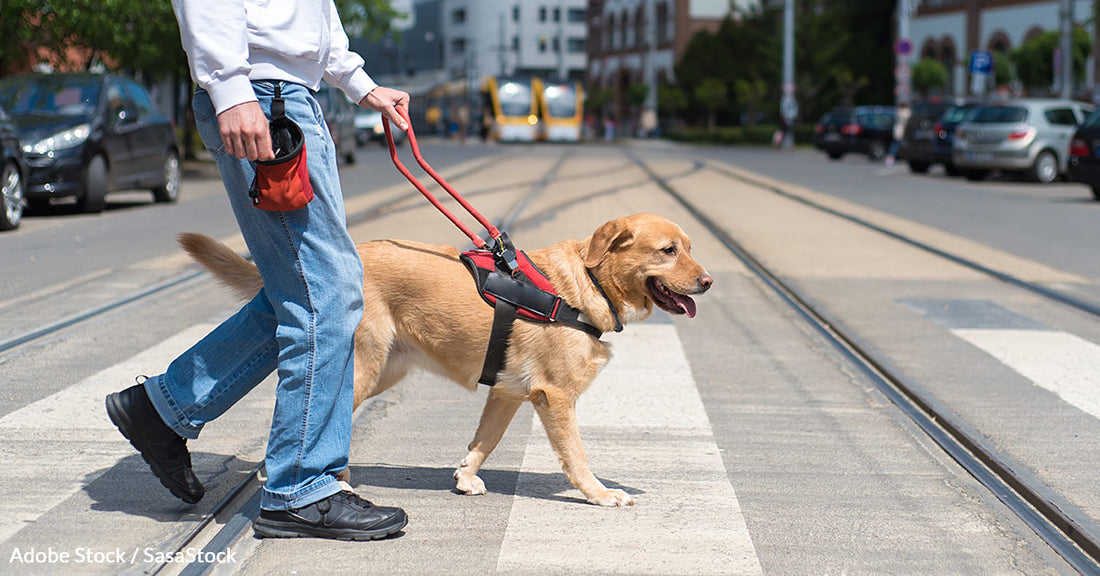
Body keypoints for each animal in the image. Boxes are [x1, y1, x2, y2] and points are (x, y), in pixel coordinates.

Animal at [180, 213, 712, 505]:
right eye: (667, 250)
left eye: (690, 247)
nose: (707, 282)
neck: (588, 283)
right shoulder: (556, 398)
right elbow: (577, 458)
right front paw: (599, 494)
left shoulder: (507, 394)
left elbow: (484, 441)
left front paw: (466, 477)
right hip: (361, 369)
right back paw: (315, 483)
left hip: (384, 371)